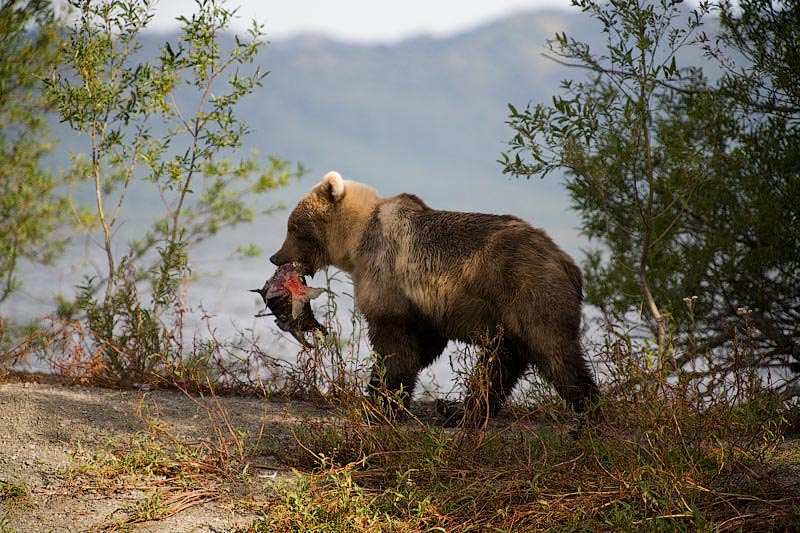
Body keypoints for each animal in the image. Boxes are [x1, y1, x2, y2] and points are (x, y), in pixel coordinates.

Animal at [272, 170, 596, 424]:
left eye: (293, 226)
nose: (276, 257)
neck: (357, 240)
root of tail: (567, 262)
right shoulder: (423, 306)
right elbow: (422, 344)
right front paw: (381, 396)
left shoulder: (387, 275)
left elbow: (395, 345)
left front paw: (382, 402)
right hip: (505, 316)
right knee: (500, 363)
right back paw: (461, 411)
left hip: (528, 291)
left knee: (554, 352)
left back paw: (589, 410)